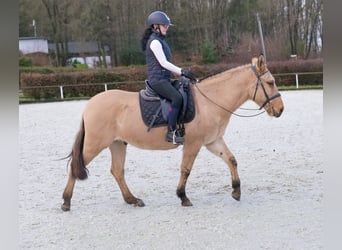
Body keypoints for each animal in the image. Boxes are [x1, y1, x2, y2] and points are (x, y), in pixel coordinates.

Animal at [60, 53, 284, 211]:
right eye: (270, 83)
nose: (280, 110)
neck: (210, 101)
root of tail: (90, 104)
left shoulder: (213, 141)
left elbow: (231, 160)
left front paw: (236, 191)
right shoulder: (193, 143)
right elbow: (186, 169)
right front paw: (183, 196)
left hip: (117, 144)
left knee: (117, 171)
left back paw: (133, 200)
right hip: (95, 144)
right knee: (75, 167)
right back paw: (66, 202)